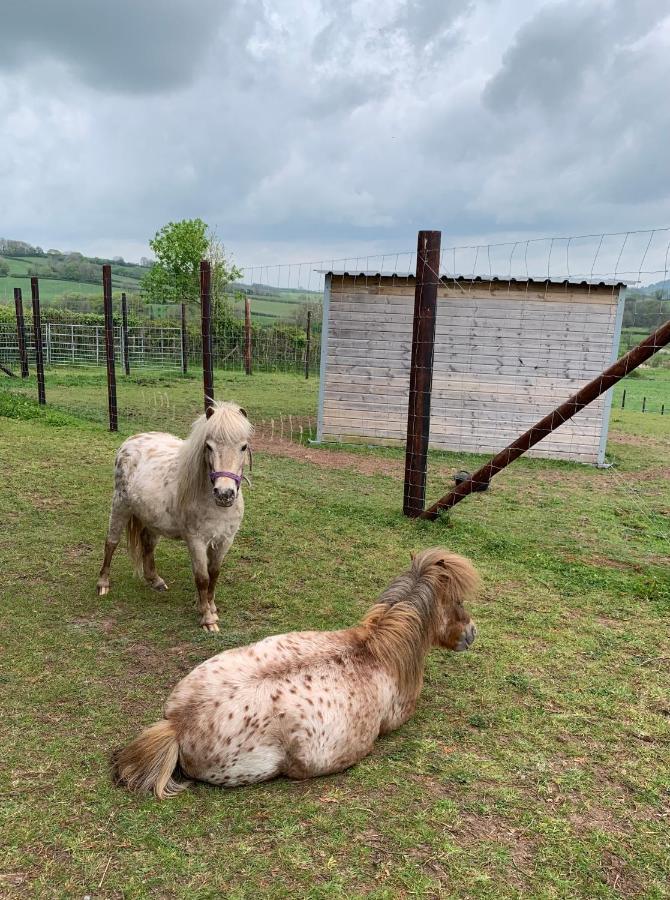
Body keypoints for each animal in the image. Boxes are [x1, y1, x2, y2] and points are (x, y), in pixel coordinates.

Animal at [99, 400, 255, 632]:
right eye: (209, 446)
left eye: (243, 447)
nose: (224, 494)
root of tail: (131, 440)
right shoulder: (196, 541)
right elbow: (202, 577)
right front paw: (207, 619)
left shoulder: (225, 540)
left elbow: (214, 573)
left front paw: (211, 607)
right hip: (120, 506)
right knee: (111, 543)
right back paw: (103, 584)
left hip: (152, 519)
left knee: (147, 544)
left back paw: (155, 580)